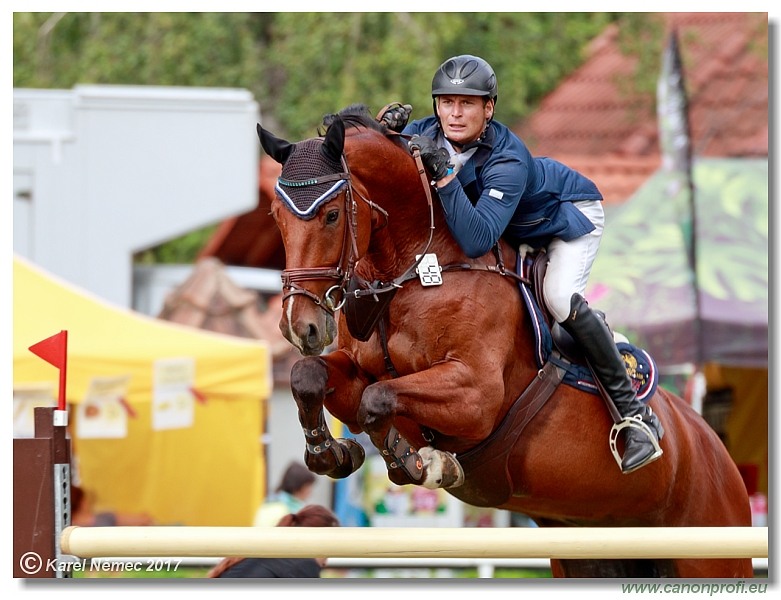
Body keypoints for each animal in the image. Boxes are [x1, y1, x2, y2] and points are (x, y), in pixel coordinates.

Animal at [258, 105, 752, 580]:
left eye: (331, 215)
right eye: (276, 218)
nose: (299, 327)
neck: (418, 267)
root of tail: (717, 450)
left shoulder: (475, 395)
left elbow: (378, 399)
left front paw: (419, 464)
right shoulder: (358, 367)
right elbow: (313, 377)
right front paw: (332, 453)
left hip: (711, 548)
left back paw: (638, 438)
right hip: (592, 552)